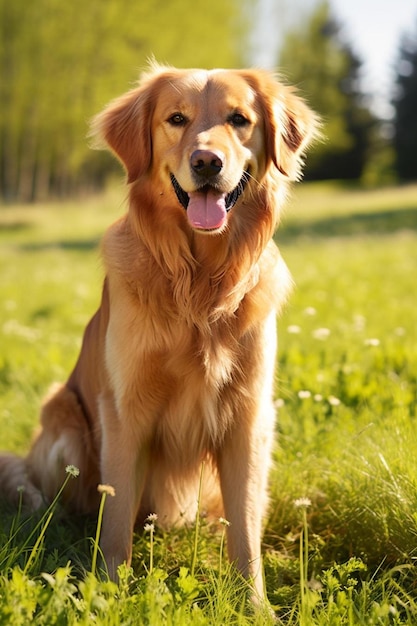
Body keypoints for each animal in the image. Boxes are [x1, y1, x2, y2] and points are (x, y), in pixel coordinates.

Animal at [0, 62, 316, 600]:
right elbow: (116, 519)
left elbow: (245, 528)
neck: (199, 285)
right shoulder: (125, 409)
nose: (207, 162)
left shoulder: (249, 415)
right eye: (176, 119)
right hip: (66, 429)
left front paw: (254, 605)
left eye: (239, 119)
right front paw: (107, 593)